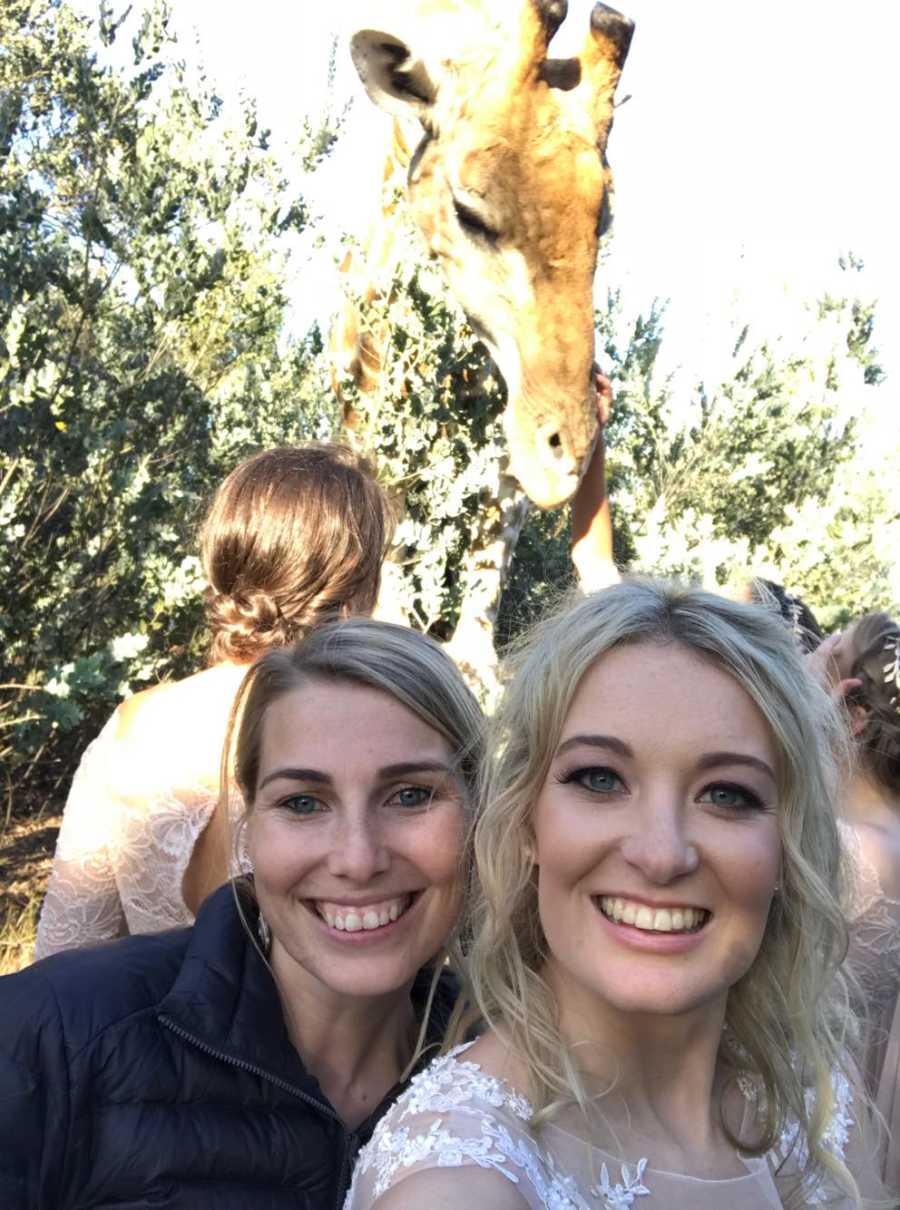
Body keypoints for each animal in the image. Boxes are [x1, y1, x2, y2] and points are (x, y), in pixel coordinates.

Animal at [331, 2, 633, 692]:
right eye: (469, 211)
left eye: (603, 218)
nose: (565, 458)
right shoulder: (365, 403)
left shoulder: (506, 429)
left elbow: (494, 545)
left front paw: (475, 664)